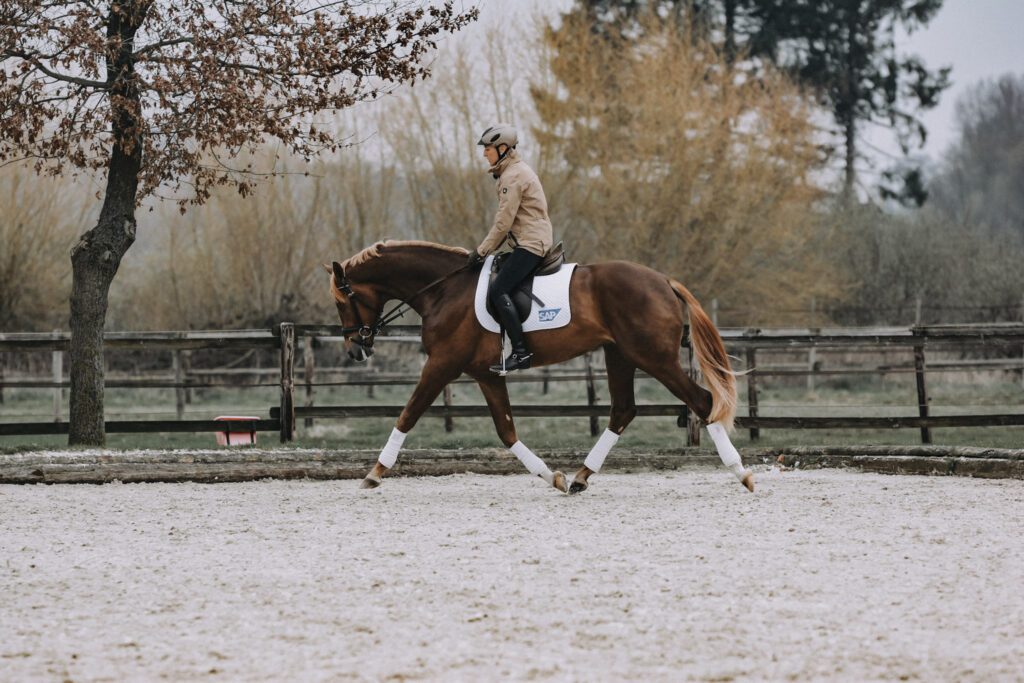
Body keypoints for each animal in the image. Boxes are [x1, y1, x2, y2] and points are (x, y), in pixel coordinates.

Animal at [327, 239, 753, 491]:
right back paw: (580, 477)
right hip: (619, 355)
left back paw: (742, 473)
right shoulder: (483, 373)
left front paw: (374, 473)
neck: (443, 290)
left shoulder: (442, 364)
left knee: (701, 402)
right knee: (622, 411)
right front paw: (553, 476)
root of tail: (664, 280)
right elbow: (506, 431)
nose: (354, 349)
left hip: (653, 357)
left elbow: (408, 414)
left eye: (342, 300)